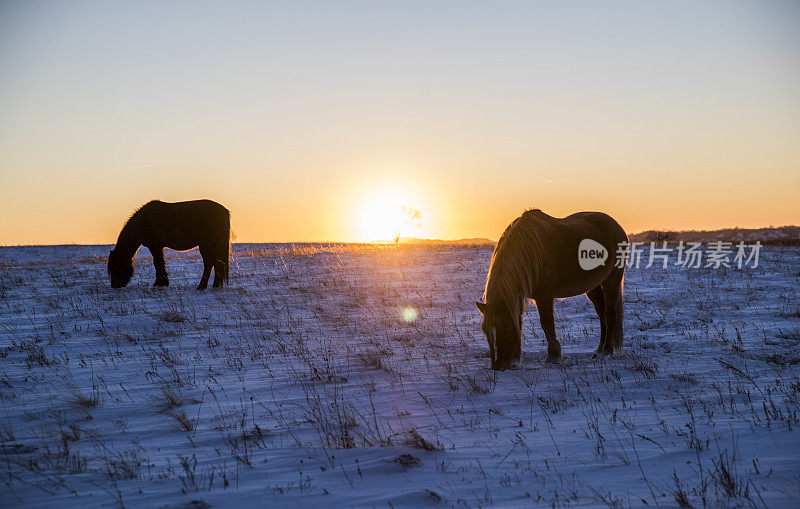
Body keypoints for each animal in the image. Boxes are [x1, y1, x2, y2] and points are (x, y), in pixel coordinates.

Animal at [476, 208, 624, 372]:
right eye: (485, 329)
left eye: (505, 329)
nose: (497, 366)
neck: (529, 251)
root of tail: (616, 226)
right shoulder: (518, 298)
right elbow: (519, 323)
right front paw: (515, 359)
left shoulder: (544, 296)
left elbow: (546, 323)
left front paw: (553, 356)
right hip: (593, 286)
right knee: (601, 313)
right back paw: (598, 350)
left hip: (612, 280)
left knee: (609, 312)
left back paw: (607, 350)